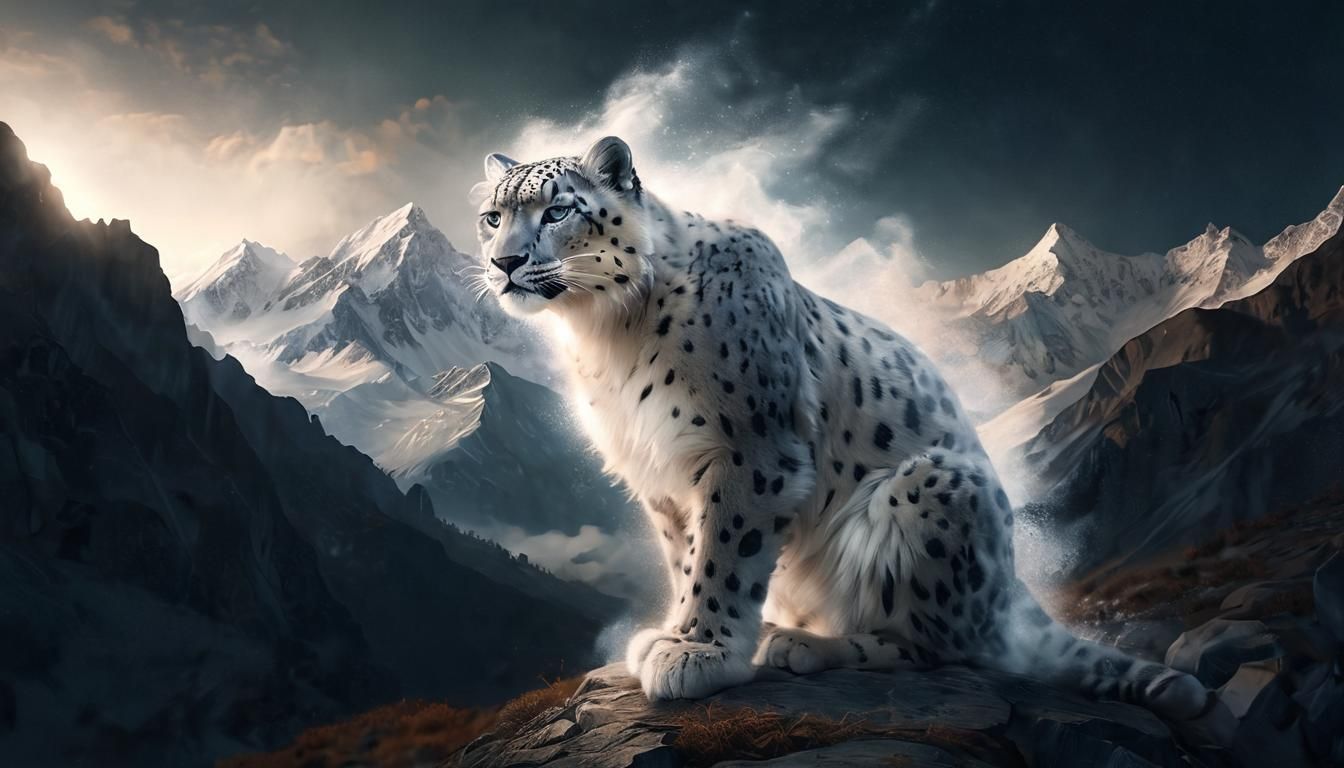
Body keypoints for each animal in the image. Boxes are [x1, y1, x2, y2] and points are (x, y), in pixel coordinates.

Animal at [469, 136, 1232, 740]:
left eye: (558, 210)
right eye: (492, 216)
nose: (504, 262)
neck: (607, 333)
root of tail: (1012, 585)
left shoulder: (751, 447)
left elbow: (724, 552)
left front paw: (700, 651)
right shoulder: (660, 473)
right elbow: (685, 555)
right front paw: (677, 633)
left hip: (929, 488)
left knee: (945, 647)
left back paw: (803, 646)